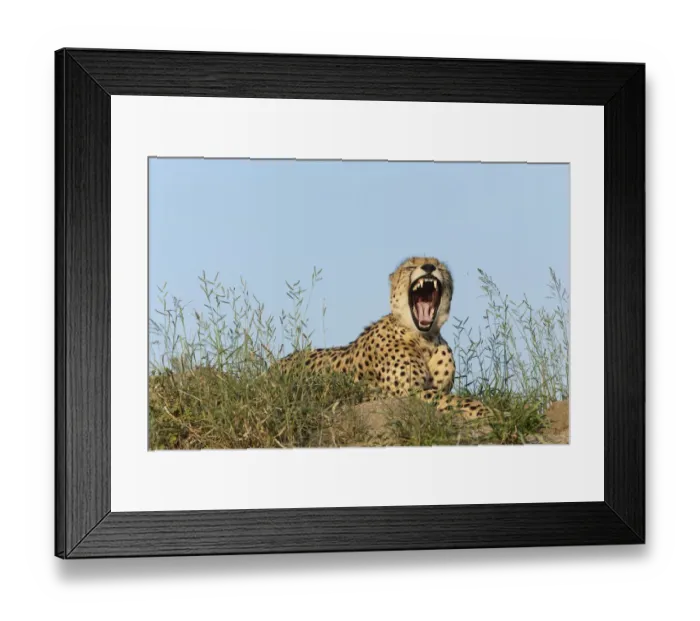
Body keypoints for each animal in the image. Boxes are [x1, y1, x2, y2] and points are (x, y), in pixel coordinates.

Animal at [278, 257, 492, 420]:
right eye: (410, 266)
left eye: (440, 266)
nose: (429, 267)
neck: (424, 339)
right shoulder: (408, 393)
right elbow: (455, 399)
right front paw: (484, 410)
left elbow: (449, 396)